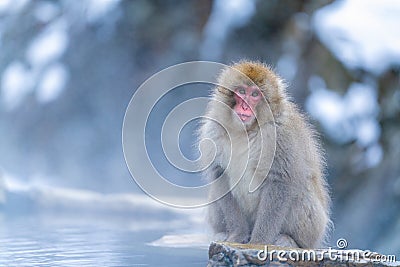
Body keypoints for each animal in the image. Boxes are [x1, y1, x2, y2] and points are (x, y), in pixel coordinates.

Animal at [197, 61, 332, 249]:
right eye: (241, 91)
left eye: (255, 94)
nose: (245, 106)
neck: (247, 130)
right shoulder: (213, 130)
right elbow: (220, 175)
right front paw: (237, 234)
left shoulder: (280, 134)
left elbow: (281, 180)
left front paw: (259, 241)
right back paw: (223, 232)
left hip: (315, 227)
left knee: (302, 193)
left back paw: (291, 240)